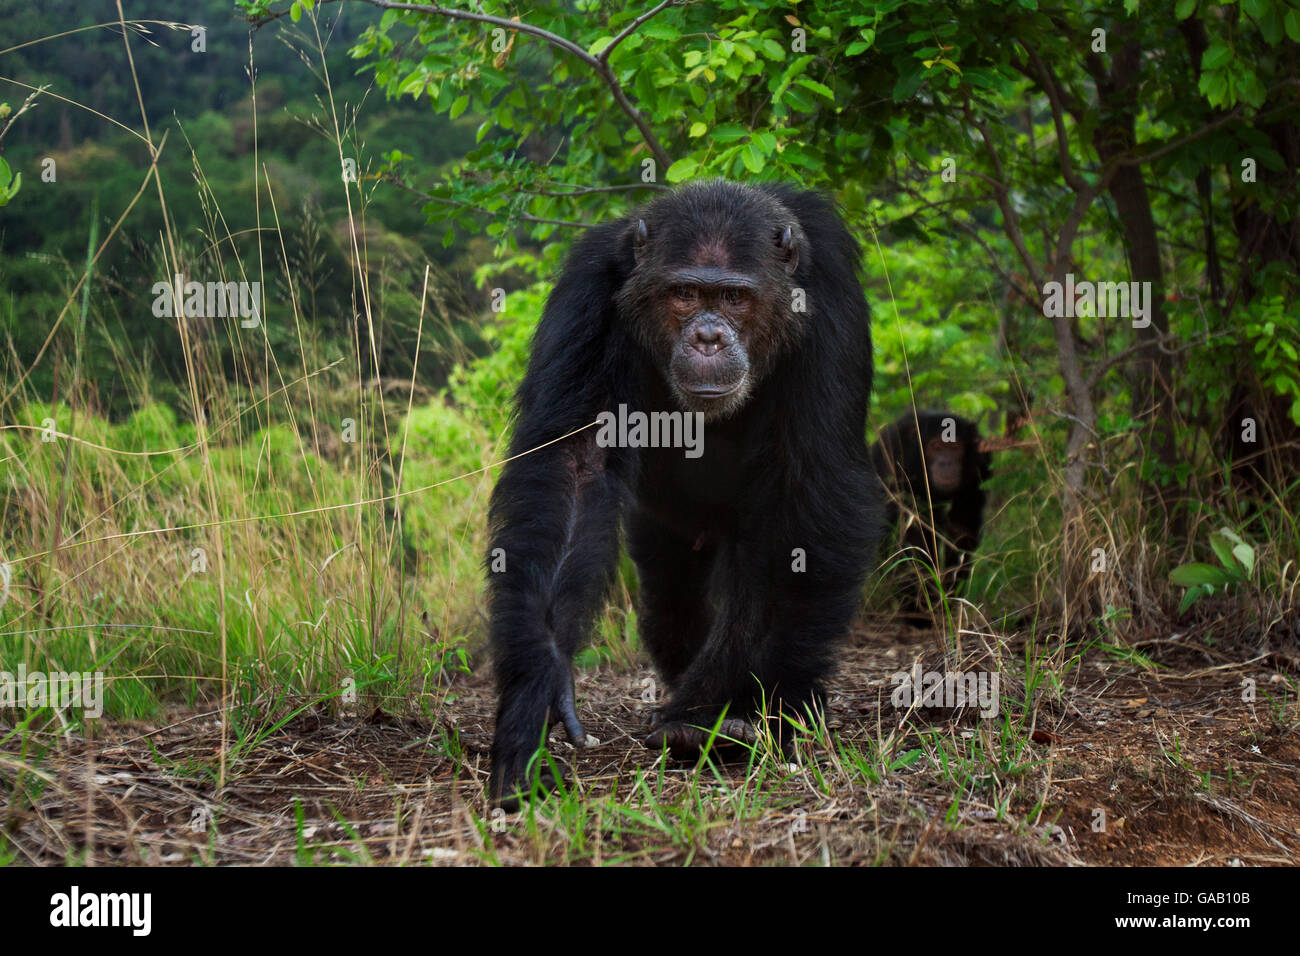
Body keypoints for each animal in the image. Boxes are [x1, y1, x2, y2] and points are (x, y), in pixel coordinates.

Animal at [488, 180, 883, 806]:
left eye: (734, 298)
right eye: (685, 294)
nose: (708, 335)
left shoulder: (830, 305)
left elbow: (808, 490)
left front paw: (753, 705)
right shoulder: (589, 293)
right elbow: (574, 467)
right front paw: (537, 687)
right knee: (673, 602)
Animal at [868, 408, 987, 621]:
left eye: (955, 447)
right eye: (936, 447)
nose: (946, 462)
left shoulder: (977, 471)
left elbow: (961, 531)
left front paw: (949, 594)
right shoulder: (896, 463)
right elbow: (912, 535)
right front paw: (920, 604)